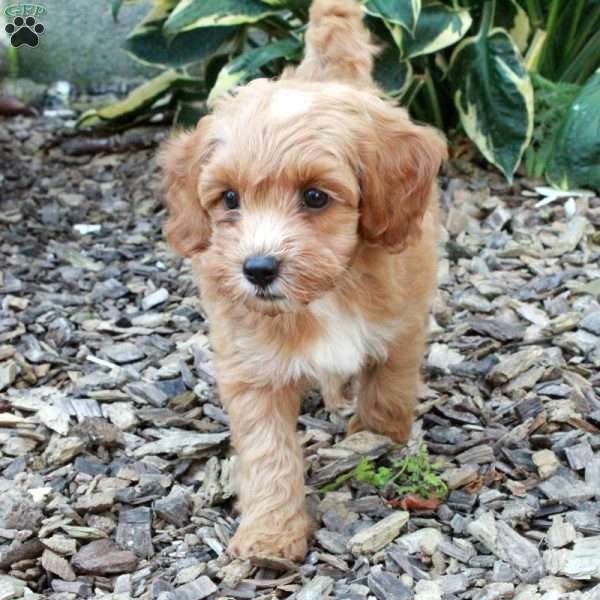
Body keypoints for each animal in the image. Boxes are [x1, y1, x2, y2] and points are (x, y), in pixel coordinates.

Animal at [159, 0, 446, 564]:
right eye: (229, 199)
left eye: (315, 197)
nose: (258, 269)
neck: (326, 294)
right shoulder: (251, 366)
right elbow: (268, 450)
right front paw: (271, 534)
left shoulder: (402, 324)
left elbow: (390, 386)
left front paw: (377, 437)